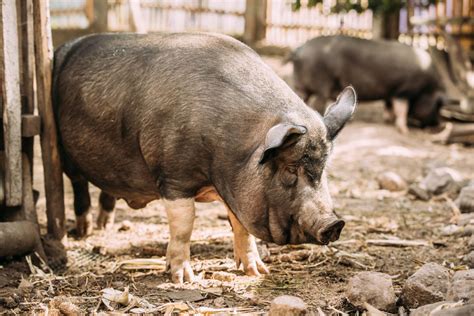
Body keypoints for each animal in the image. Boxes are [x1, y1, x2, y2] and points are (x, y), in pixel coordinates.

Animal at [52, 32, 356, 284]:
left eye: (323, 169)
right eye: (290, 169)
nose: (334, 224)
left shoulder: (234, 189)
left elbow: (241, 228)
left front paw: (258, 272)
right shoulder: (174, 176)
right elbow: (185, 226)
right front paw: (183, 279)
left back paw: (104, 225)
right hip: (65, 153)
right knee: (78, 184)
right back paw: (84, 231)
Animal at [286, 34, 446, 133]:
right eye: (438, 105)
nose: (440, 125)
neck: (427, 89)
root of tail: (298, 50)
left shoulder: (390, 92)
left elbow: (389, 106)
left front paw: (388, 121)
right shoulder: (404, 91)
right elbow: (402, 109)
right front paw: (404, 131)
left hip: (301, 88)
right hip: (321, 86)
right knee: (318, 103)